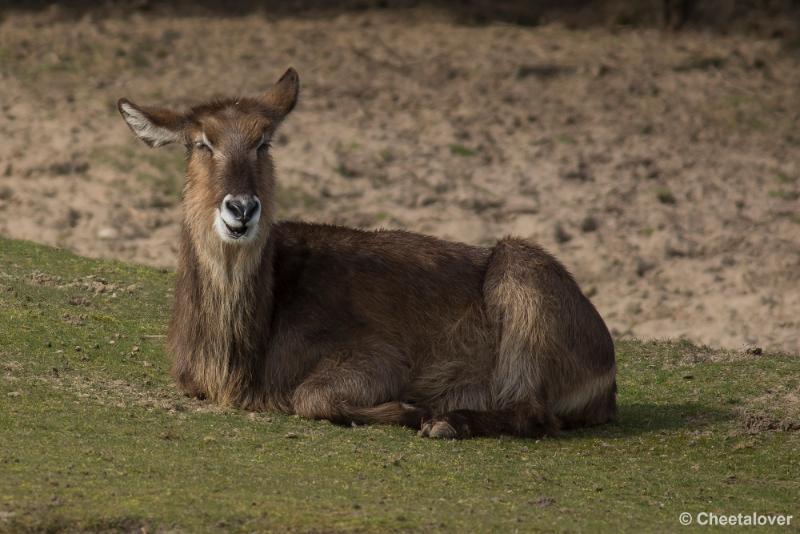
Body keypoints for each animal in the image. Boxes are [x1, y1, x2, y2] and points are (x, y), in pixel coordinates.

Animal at [117, 68, 620, 440]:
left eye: (264, 141)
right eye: (201, 142)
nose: (241, 208)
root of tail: (608, 368)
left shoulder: (380, 355)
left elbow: (309, 398)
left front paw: (413, 408)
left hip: (521, 271)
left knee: (534, 413)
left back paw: (445, 420)